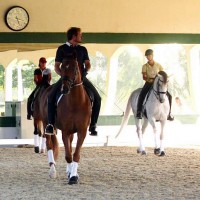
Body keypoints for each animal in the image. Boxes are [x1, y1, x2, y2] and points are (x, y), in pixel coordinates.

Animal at [38, 53, 91, 184]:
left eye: (75, 68)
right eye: (62, 68)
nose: (65, 89)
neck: (76, 103)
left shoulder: (82, 131)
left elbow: (75, 154)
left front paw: (73, 176)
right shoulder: (65, 131)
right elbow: (68, 155)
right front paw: (71, 175)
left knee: (70, 146)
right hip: (47, 124)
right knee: (49, 144)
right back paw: (52, 170)